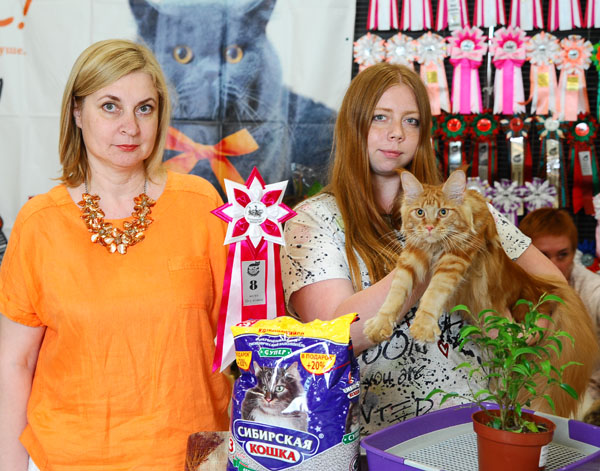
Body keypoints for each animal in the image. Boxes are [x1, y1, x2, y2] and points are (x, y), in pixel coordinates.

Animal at [363, 169, 600, 418]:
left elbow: (433, 292)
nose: (428, 228)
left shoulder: (455, 256)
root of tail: (547, 290)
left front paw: (423, 326)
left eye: (443, 212)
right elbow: (395, 293)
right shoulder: (413, 256)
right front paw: (379, 324)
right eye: (419, 212)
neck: (434, 247)